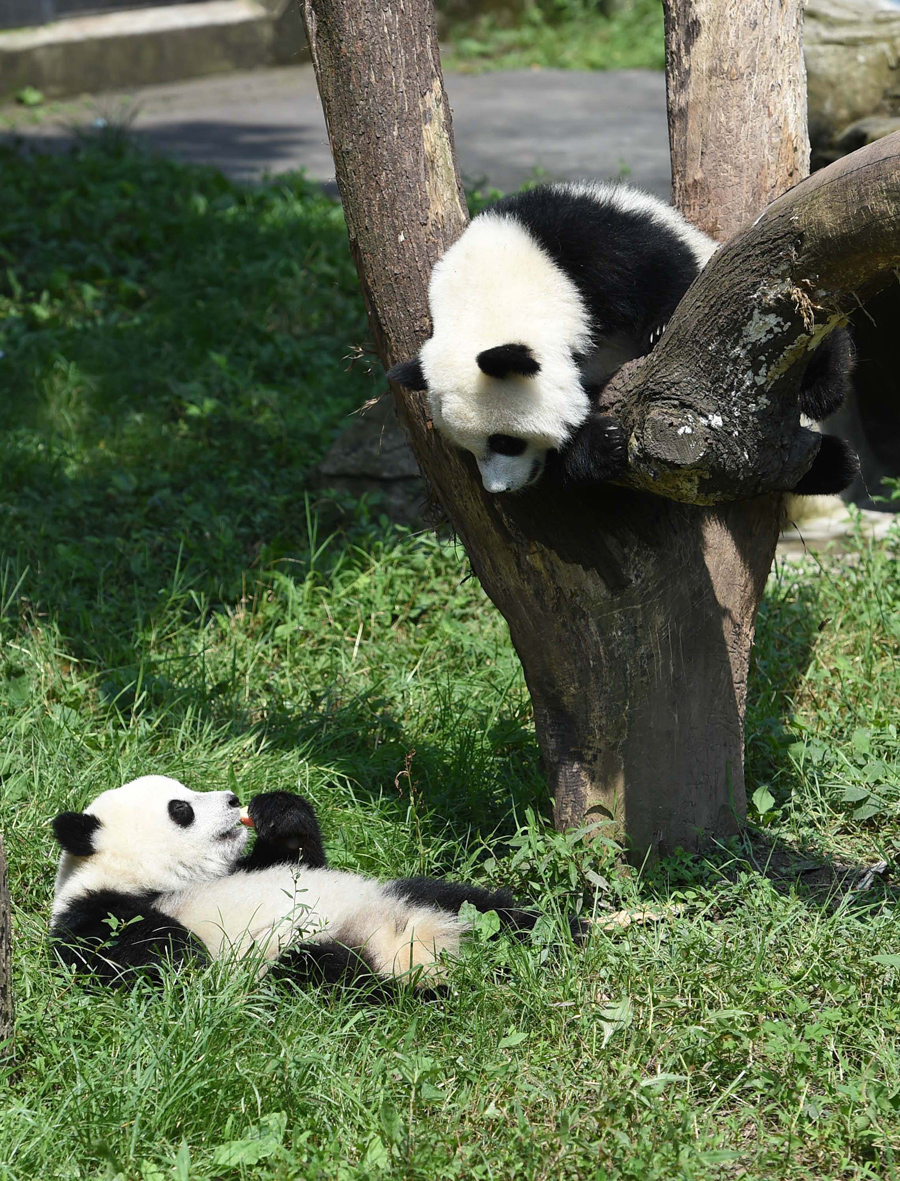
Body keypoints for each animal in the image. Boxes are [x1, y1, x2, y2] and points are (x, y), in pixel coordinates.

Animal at [50, 774, 548, 996]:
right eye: (181, 809)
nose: (233, 800)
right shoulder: (91, 909)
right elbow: (133, 954)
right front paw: (185, 955)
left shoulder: (259, 867)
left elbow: (297, 858)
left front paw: (277, 811)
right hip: (304, 960)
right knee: (322, 972)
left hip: (410, 896)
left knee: (484, 906)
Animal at [387, 181, 855, 496]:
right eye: (467, 450)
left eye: (504, 441)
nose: (498, 489)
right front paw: (600, 444)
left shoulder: (587, 236)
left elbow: (664, 271)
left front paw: (660, 328)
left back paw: (823, 402)